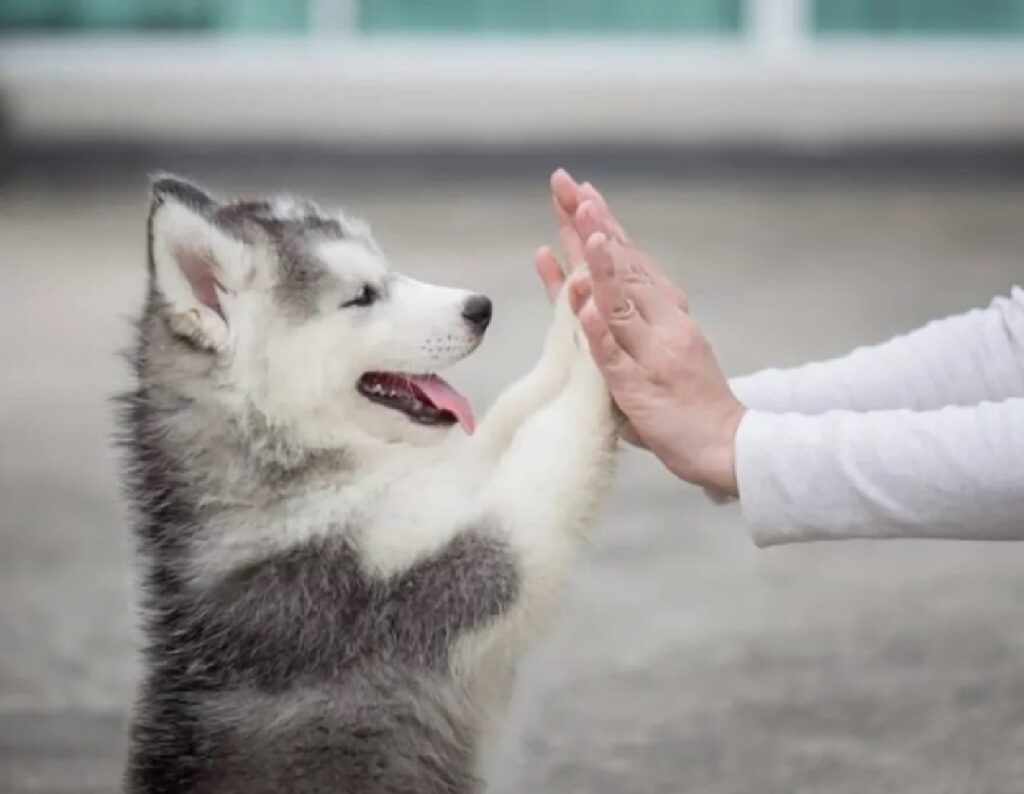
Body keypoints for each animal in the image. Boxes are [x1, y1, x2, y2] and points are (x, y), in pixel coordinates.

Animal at [119, 177, 614, 790]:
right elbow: (550, 445)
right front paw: (604, 339)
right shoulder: (436, 575)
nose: (481, 308)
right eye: (361, 296)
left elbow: (511, 414)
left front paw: (577, 301)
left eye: (388, 271)